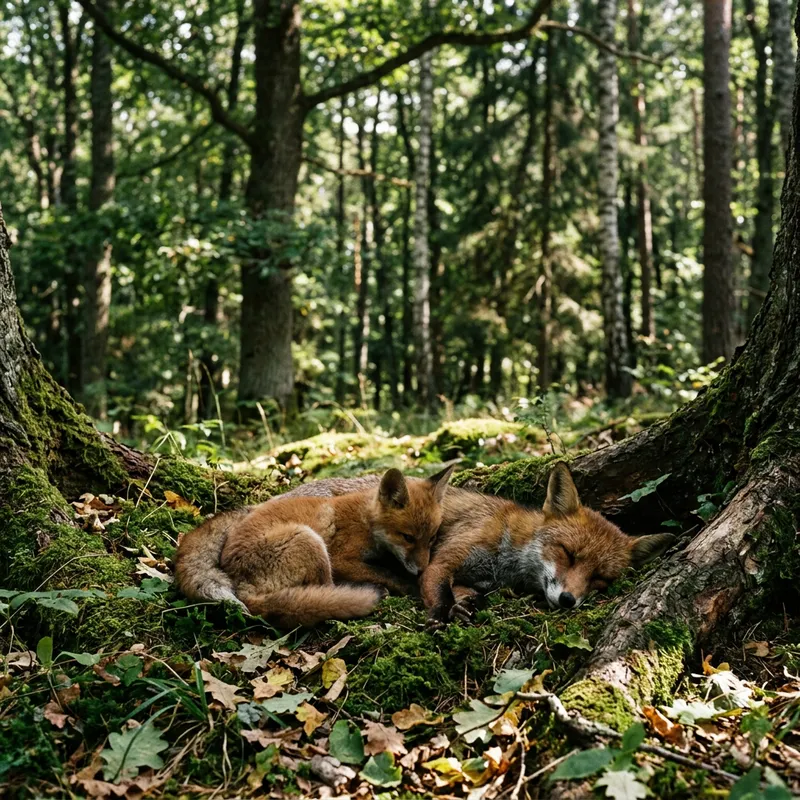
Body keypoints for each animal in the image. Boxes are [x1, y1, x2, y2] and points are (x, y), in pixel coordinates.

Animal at [173, 465, 454, 629]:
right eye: (408, 537)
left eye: (431, 539)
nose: (422, 570)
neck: (367, 521)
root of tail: (240, 585)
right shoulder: (341, 558)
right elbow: (386, 573)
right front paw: (409, 586)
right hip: (310, 541)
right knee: (327, 592)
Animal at [282, 462, 676, 624]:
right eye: (568, 554)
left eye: (600, 580)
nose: (568, 601)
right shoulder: (444, 559)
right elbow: (437, 591)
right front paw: (440, 617)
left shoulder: (472, 576)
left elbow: (464, 593)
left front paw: (465, 606)